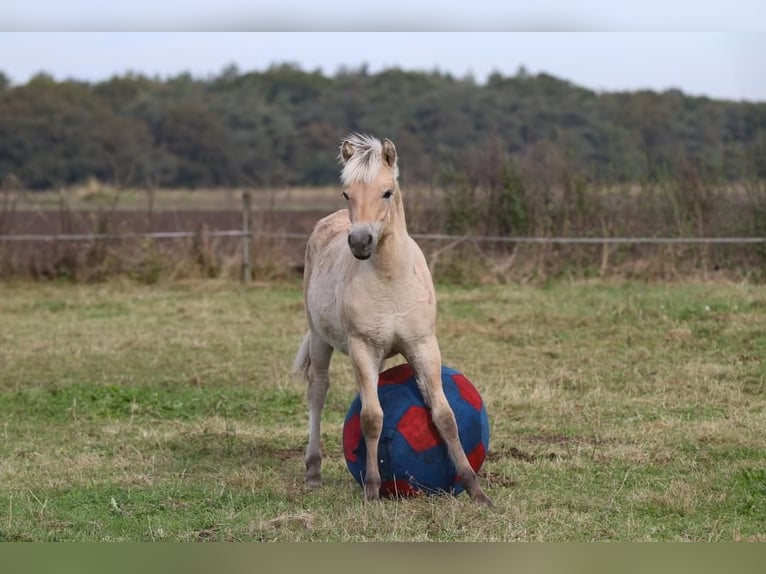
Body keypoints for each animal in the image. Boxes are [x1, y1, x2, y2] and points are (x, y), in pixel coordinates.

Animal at [294, 135, 492, 508]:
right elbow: (372, 418)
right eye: (346, 193)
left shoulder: (423, 346)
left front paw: (475, 489)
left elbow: (445, 416)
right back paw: (313, 471)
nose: (360, 242)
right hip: (320, 338)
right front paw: (372, 489)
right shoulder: (363, 348)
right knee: (318, 391)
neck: (390, 281)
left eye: (387, 192)